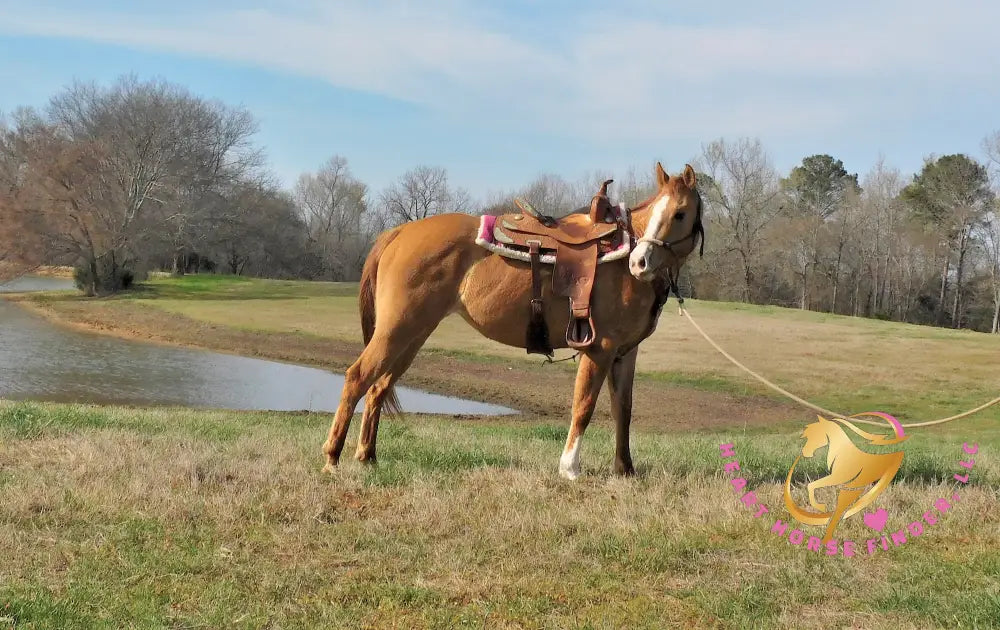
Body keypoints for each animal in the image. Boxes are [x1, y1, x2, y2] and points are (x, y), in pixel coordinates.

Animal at [321, 163, 704, 479]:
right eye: (662, 212)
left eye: (680, 213)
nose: (640, 262)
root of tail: (400, 232)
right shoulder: (600, 348)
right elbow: (584, 406)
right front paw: (570, 468)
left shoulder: (625, 353)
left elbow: (623, 409)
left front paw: (625, 470)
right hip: (396, 331)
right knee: (357, 377)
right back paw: (332, 457)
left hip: (412, 336)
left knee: (378, 387)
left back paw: (367, 457)